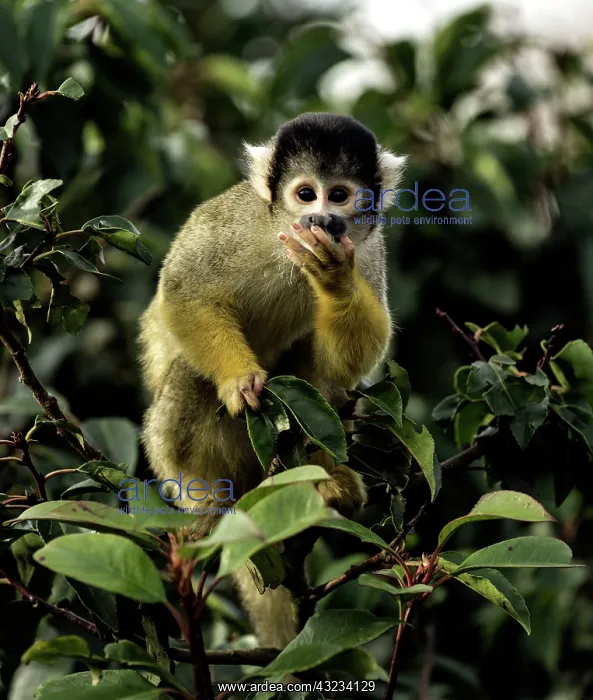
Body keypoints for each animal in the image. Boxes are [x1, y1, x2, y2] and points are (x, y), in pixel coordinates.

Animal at [138, 112, 406, 649]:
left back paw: (324, 479)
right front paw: (239, 380)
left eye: (339, 195)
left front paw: (334, 280)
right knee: (188, 377)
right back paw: (212, 505)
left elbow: (339, 367)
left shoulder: (368, 252)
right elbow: (184, 291)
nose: (321, 220)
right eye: (306, 194)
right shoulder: (235, 223)